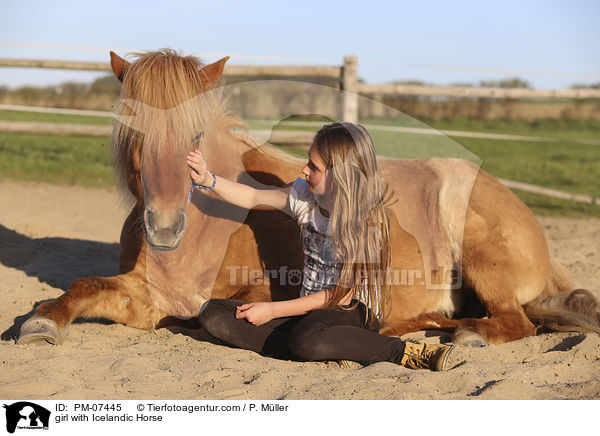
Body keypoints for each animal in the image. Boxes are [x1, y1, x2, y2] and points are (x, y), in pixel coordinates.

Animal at [16, 48, 596, 348]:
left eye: (195, 135)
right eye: (134, 133)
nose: (163, 227)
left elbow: (221, 310)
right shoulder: (146, 291)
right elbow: (84, 287)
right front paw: (42, 320)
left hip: (481, 255)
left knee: (514, 323)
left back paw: (463, 335)